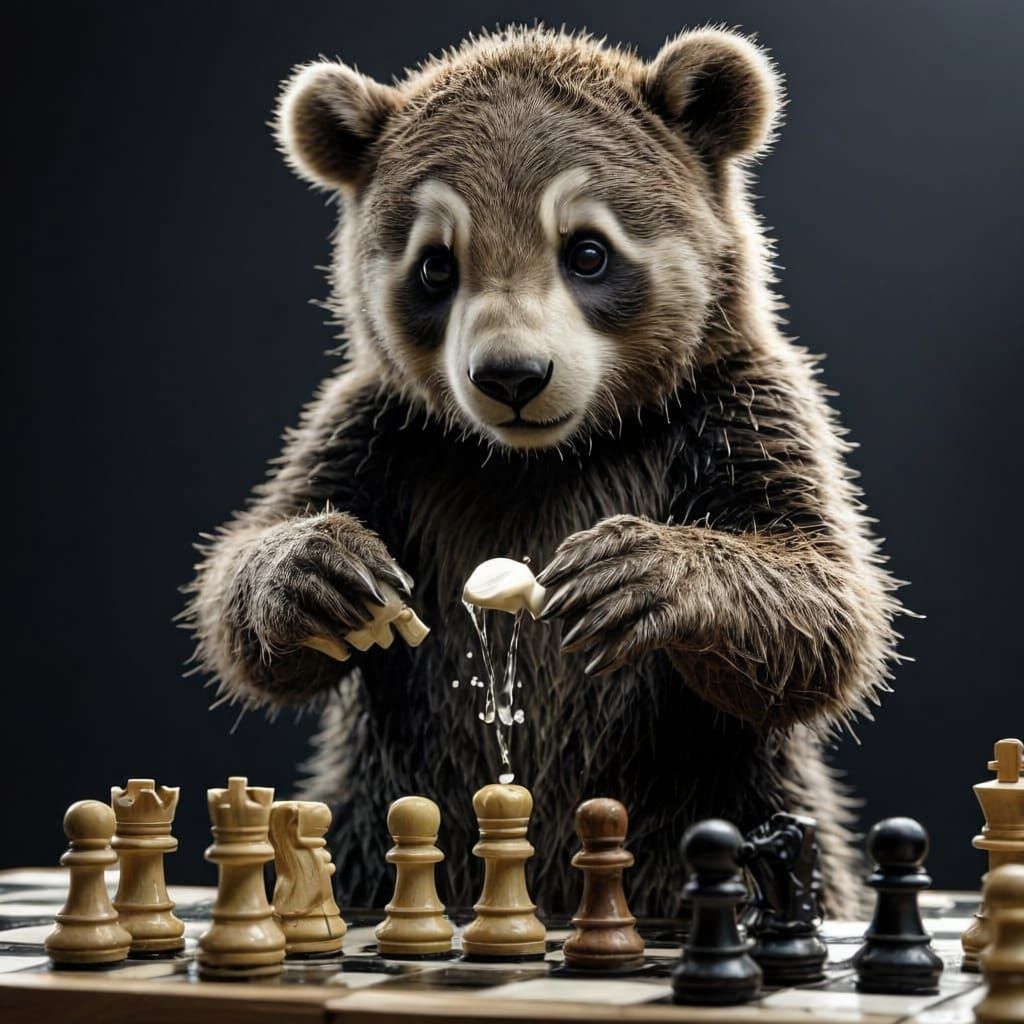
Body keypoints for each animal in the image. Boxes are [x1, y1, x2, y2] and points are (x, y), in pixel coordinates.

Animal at [186, 25, 902, 917]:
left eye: (587, 250)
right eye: (435, 264)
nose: (512, 376)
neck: (544, 458)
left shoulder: (736, 414)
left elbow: (824, 599)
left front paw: (638, 571)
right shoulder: (382, 439)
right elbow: (249, 591)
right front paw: (320, 567)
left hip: (731, 799)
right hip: (365, 819)